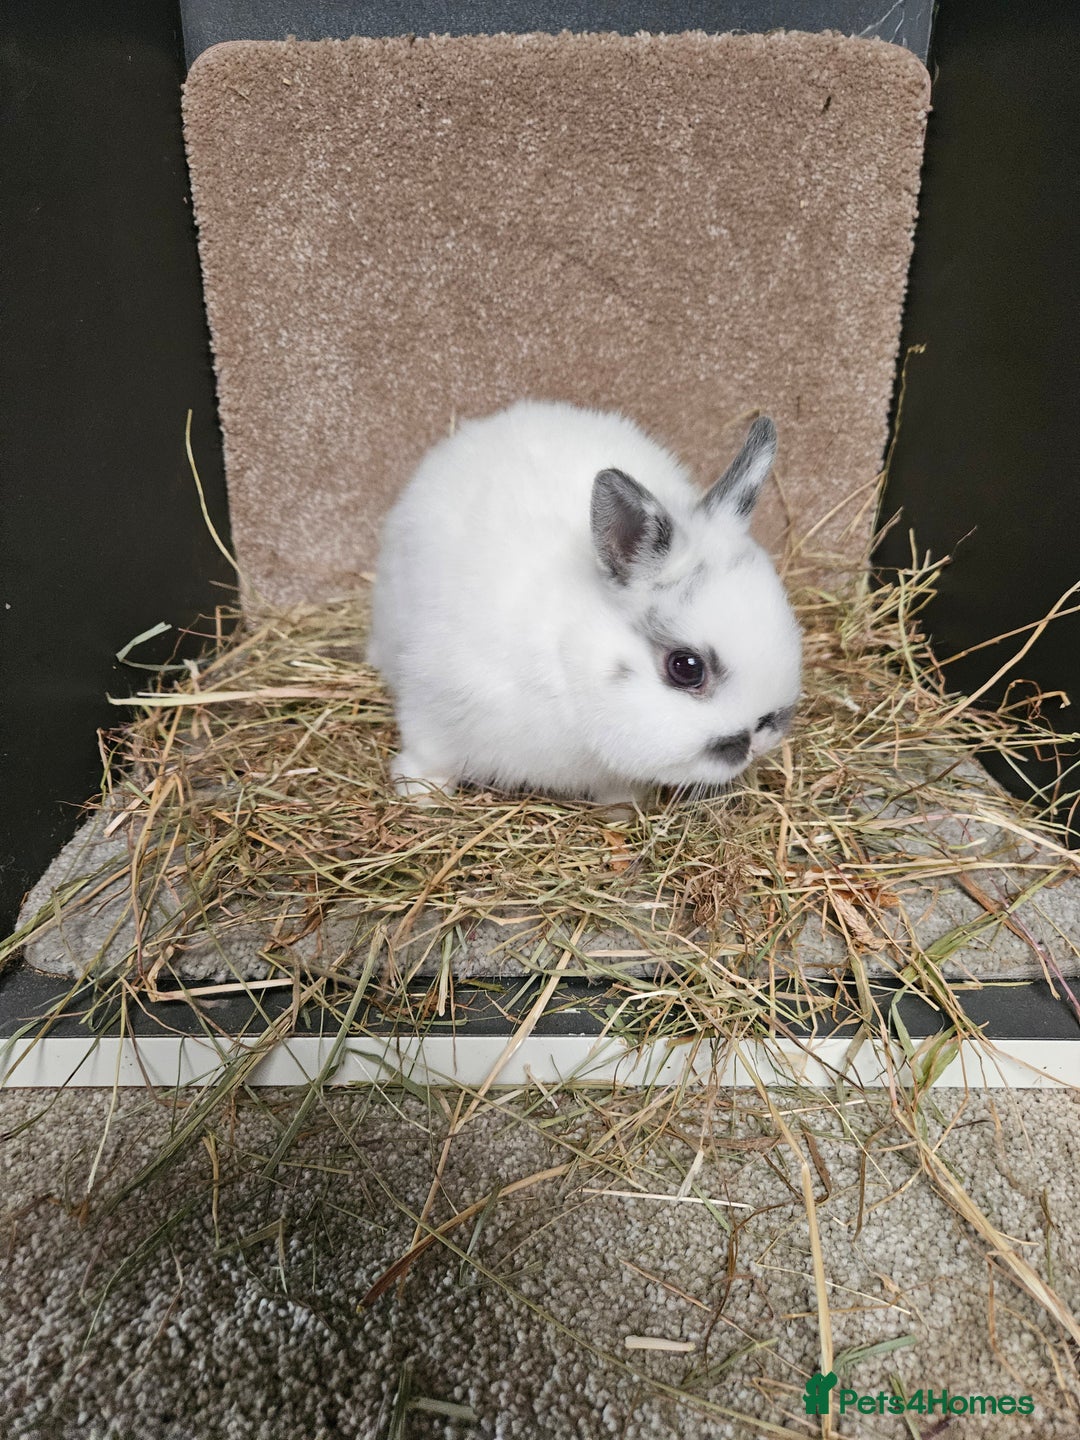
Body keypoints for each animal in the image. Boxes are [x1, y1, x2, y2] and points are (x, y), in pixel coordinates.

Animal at [368, 399, 802, 804]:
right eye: (686, 667)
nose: (760, 740)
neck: (568, 655)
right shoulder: (435, 698)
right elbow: (429, 747)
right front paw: (419, 792)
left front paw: (623, 809)